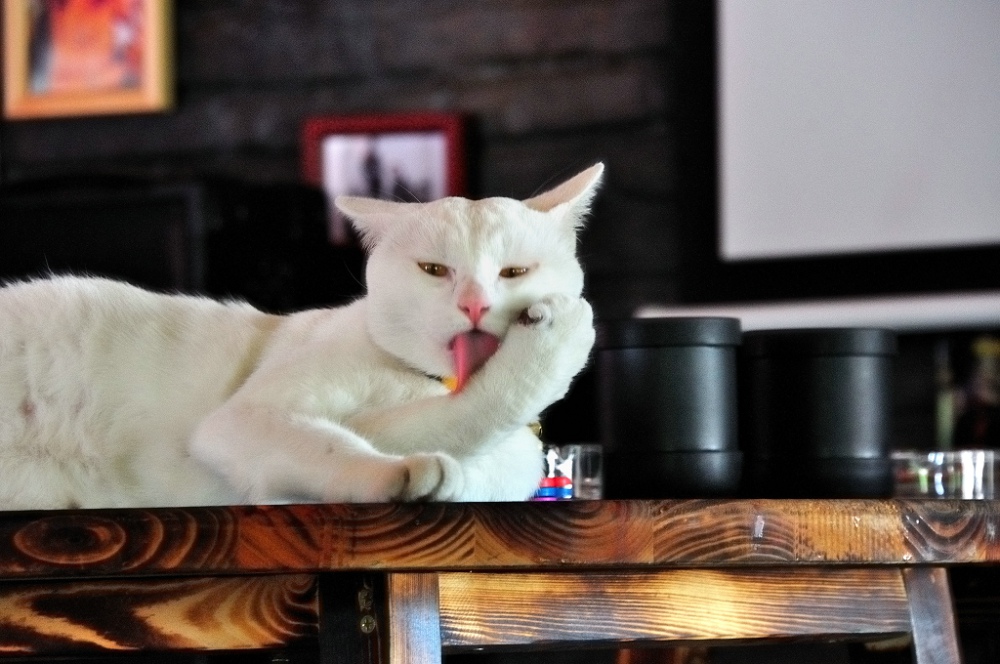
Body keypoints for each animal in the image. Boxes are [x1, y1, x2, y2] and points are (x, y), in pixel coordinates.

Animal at [0, 164, 602, 509]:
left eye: (513, 273)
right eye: (434, 271)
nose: (473, 304)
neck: (427, 381)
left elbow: (468, 427)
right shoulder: (239, 420)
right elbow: (340, 442)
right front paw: (399, 472)